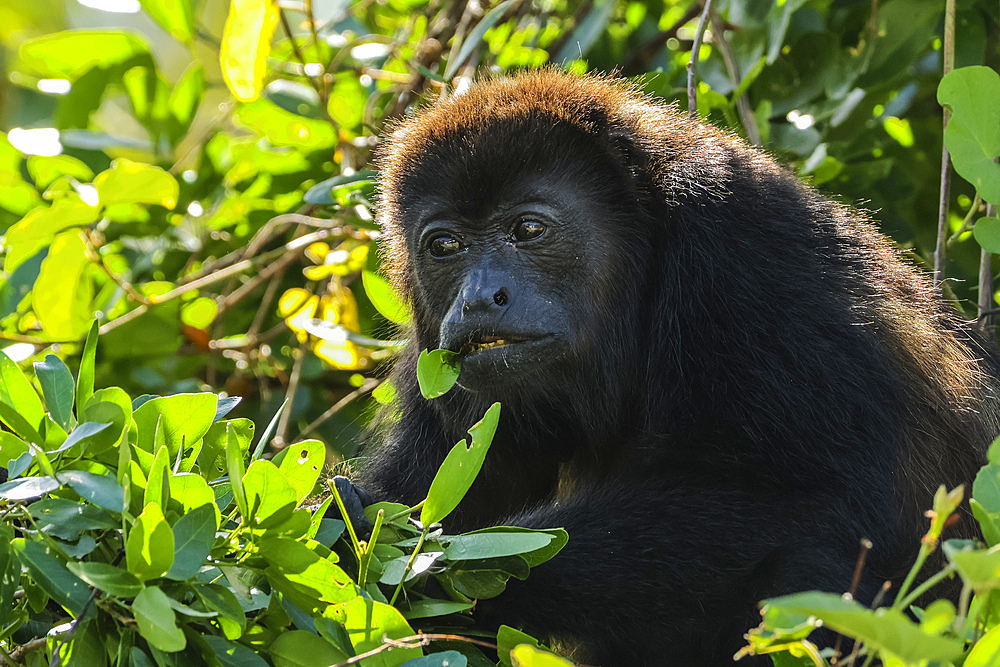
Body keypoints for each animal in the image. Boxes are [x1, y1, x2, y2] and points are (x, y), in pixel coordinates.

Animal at [338, 70, 1000, 664]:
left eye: (529, 229)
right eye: (444, 245)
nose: (478, 299)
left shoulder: (744, 252)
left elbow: (812, 502)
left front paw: (384, 541)